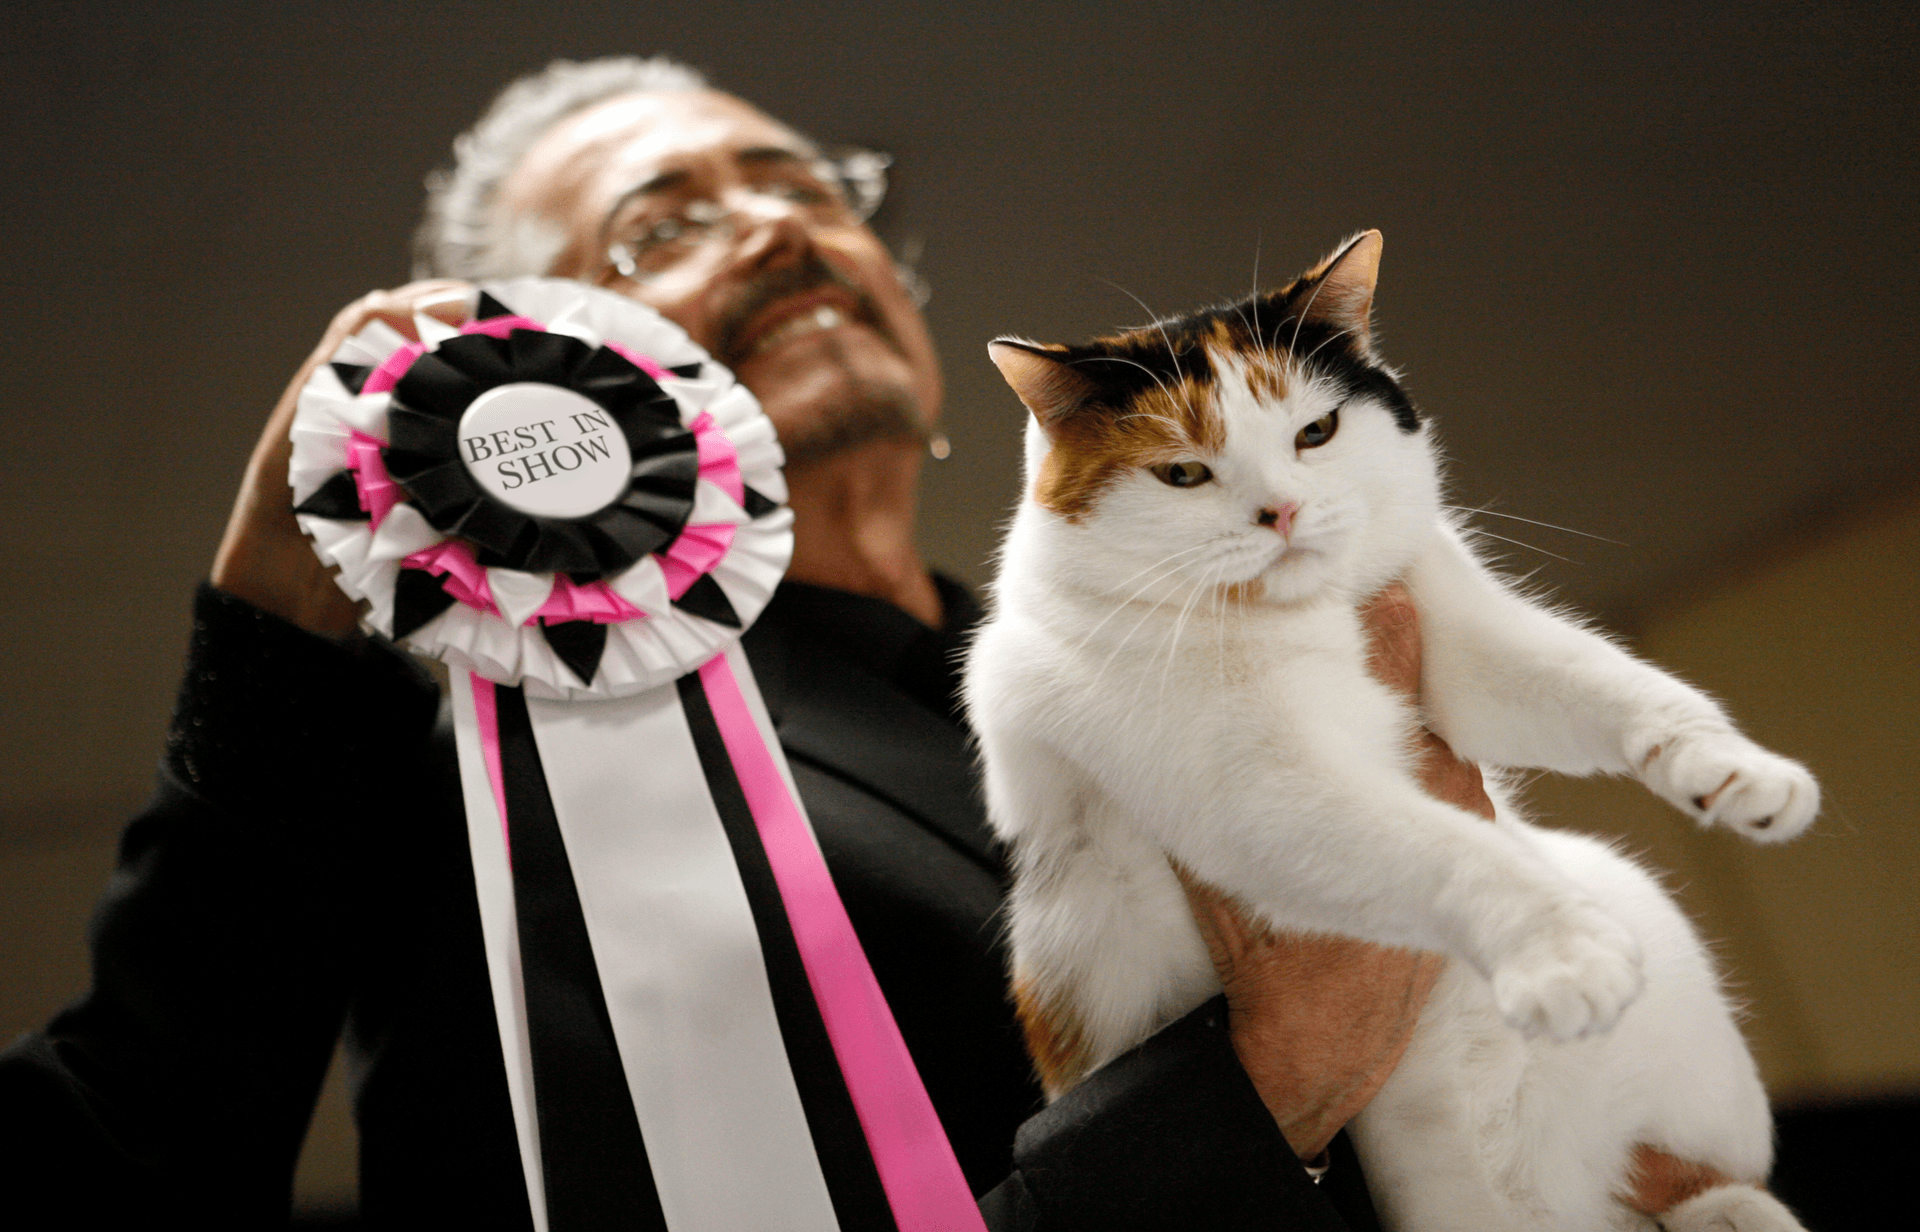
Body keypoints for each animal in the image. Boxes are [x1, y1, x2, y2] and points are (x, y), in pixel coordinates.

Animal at [967, 232, 1820, 1228]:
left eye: (1316, 433)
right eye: (1182, 473)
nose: (1283, 512)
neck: (1309, 618)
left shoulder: (1461, 638)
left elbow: (1601, 683)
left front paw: (1735, 769)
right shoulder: (1254, 787)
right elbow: (1441, 847)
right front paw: (1560, 954)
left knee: (1709, 1186)